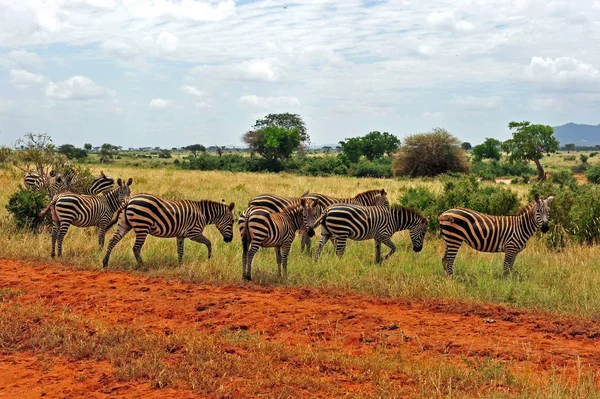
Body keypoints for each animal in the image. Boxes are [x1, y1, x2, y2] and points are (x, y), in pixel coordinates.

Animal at [102, 195, 236, 268]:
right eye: (232, 221)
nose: (229, 240)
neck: (203, 214)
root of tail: (129, 201)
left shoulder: (180, 235)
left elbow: (180, 251)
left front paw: (180, 265)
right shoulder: (193, 233)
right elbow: (208, 243)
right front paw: (209, 258)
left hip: (124, 225)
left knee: (112, 241)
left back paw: (105, 262)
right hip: (142, 226)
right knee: (136, 248)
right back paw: (142, 265)